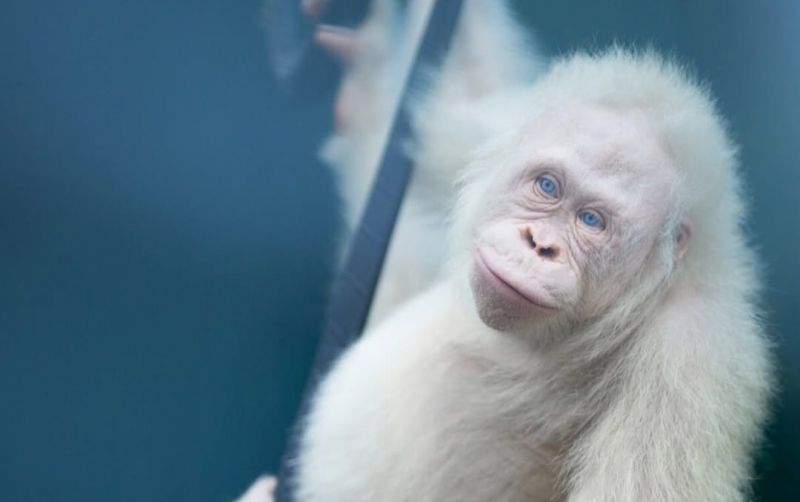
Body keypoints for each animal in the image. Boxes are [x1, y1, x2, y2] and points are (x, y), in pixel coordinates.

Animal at [289, 49, 774, 501]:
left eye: (592, 220)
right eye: (547, 186)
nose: (540, 243)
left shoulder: (691, 354)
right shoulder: (489, 127)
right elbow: (457, 101)